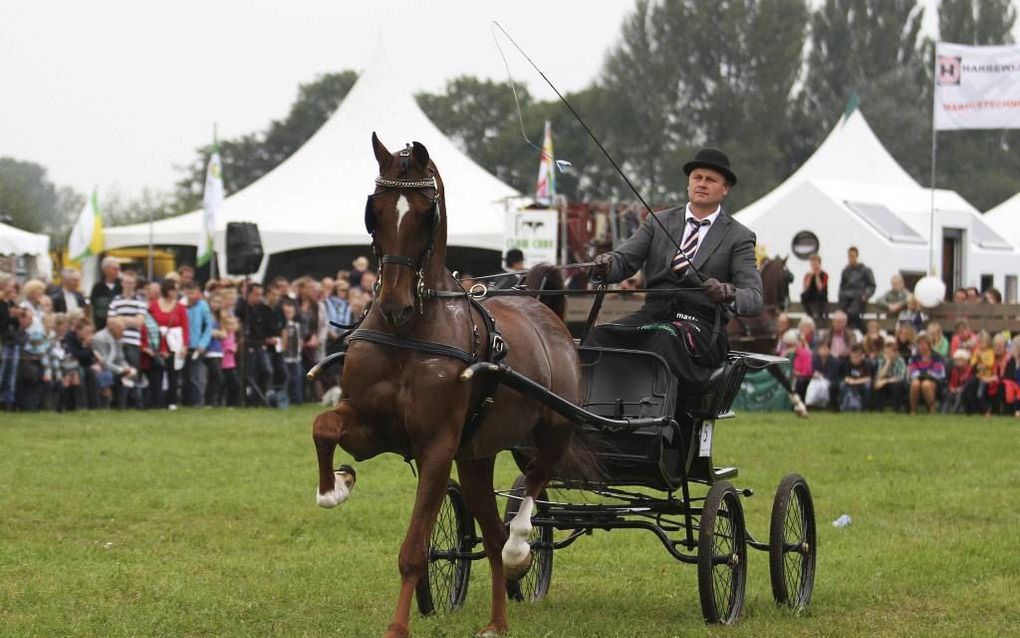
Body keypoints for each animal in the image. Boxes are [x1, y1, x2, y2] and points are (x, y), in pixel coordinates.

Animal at [314, 134, 595, 636]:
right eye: (374, 209)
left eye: (427, 212)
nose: (394, 304)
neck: (410, 333)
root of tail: (544, 309)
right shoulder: (371, 427)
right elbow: (325, 426)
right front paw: (336, 485)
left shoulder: (437, 448)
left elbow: (413, 551)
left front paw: (397, 628)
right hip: (476, 458)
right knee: (491, 531)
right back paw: (497, 622)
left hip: (554, 428)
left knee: (532, 487)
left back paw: (521, 552)